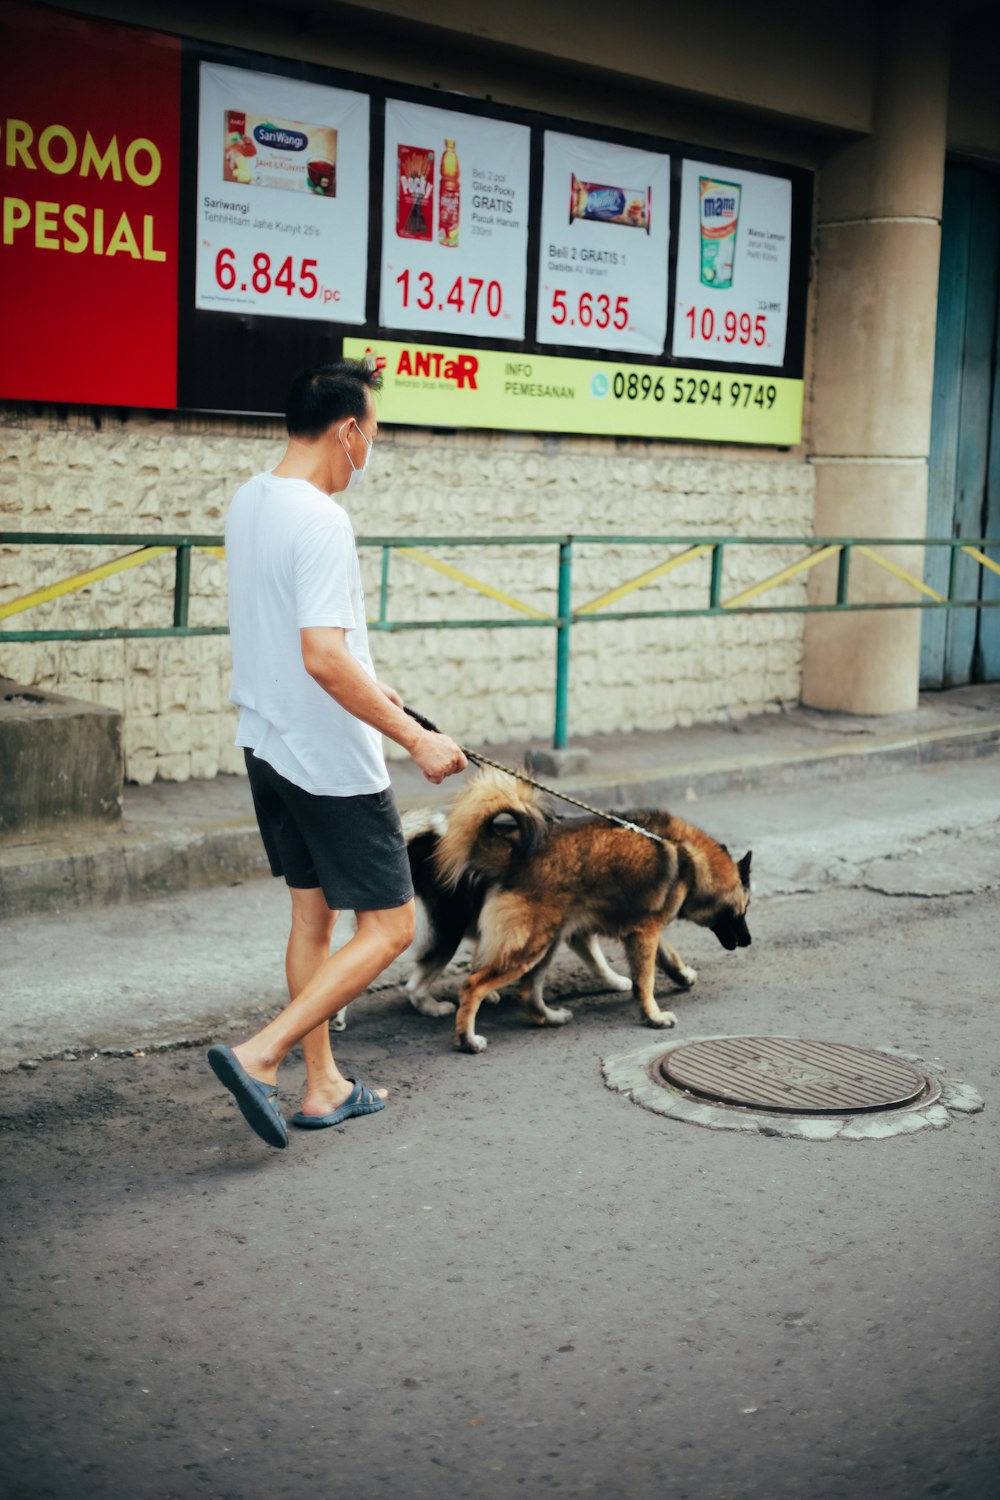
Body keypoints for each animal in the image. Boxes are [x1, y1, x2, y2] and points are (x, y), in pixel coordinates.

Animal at [437, 774, 749, 1056]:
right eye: (741, 912)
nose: (747, 942)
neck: (691, 859)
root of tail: (514, 855)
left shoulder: (643, 931)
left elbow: (667, 956)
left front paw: (682, 976)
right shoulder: (645, 932)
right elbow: (646, 980)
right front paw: (653, 1016)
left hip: (546, 943)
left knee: (528, 995)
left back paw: (551, 1018)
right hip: (529, 947)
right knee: (473, 986)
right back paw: (467, 1040)